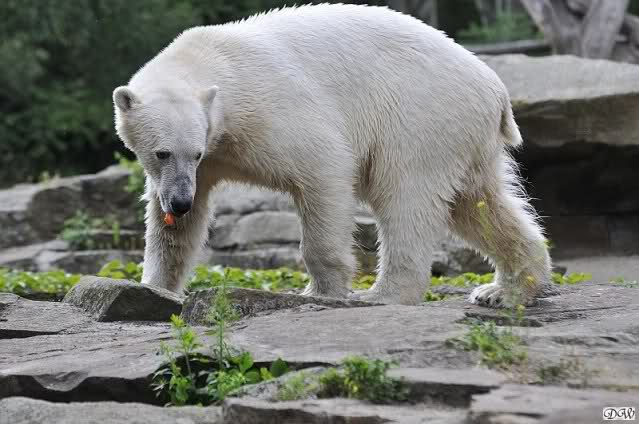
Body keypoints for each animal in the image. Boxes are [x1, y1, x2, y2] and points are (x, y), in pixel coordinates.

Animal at [113, 4, 552, 307]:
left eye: (194, 151)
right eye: (162, 153)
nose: (179, 202)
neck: (213, 59)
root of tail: (494, 88)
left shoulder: (270, 113)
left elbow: (324, 168)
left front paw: (322, 292)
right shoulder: (202, 163)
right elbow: (174, 232)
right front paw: (154, 287)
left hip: (420, 116)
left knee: (406, 197)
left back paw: (383, 294)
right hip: (464, 134)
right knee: (477, 202)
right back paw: (505, 290)